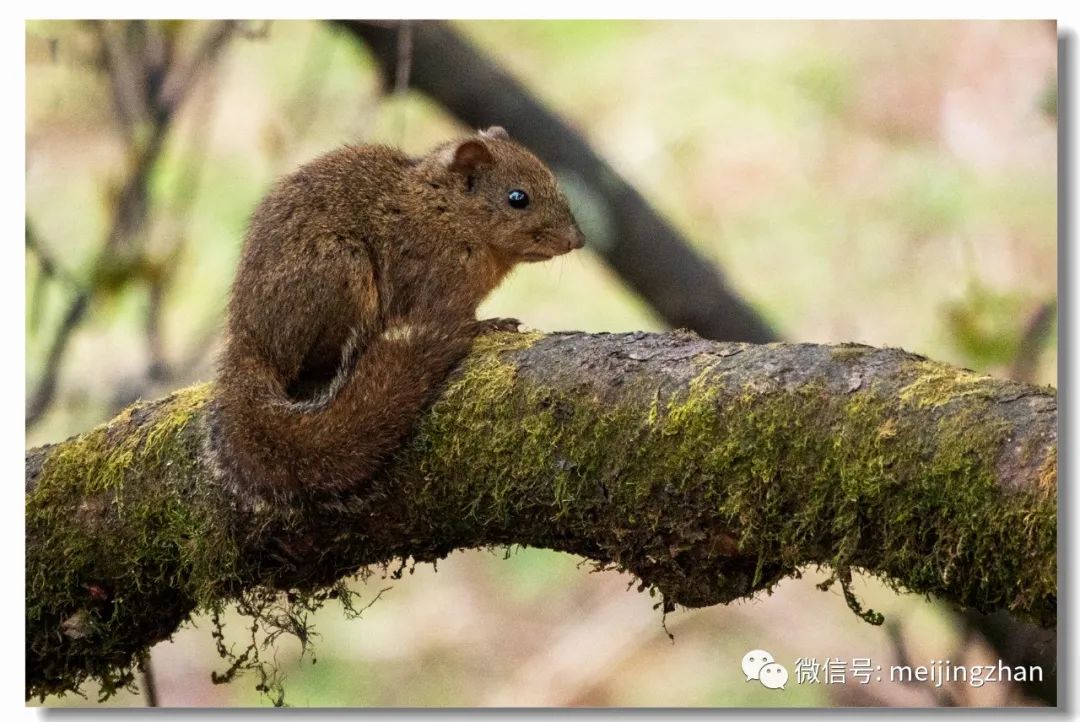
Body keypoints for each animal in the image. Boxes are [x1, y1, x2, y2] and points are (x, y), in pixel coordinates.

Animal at [209, 126, 583, 505]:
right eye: (517, 198)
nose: (577, 240)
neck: (446, 212)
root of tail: (249, 340)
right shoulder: (426, 278)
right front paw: (487, 324)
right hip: (341, 268)